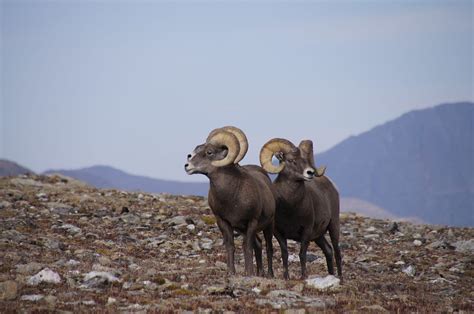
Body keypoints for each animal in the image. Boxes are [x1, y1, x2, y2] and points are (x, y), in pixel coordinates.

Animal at [184, 126, 276, 276]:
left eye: (209, 152)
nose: (187, 166)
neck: (232, 197)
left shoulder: (251, 222)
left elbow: (246, 247)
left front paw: (248, 273)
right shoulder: (223, 222)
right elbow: (230, 246)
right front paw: (231, 272)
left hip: (269, 225)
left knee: (268, 247)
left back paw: (269, 275)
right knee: (258, 244)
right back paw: (259, 273)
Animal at [260, 139, 340, 280]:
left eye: (306, 160)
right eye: (291, 160)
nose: (310, 173)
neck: (290, 208)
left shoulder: (306, 232)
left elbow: (302, 254)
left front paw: (304, 276)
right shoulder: (278, 233)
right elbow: (284, 253)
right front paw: (286, 277)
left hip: (333, 226)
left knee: (337, 252)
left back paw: (340, 277)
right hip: (319, 236)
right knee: (328, 250)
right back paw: (331, 275)